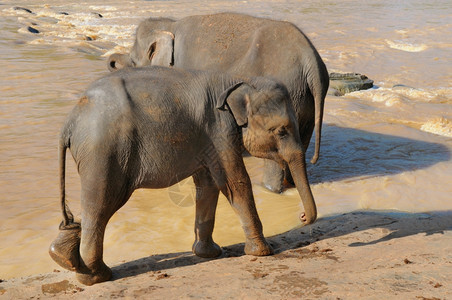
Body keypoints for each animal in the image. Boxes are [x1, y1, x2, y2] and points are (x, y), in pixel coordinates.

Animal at [49, 67, 316, 284]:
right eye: (281, 131)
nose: (302, 216)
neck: (239, 79)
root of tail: (69, 122)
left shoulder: (208, 138)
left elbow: (208, 185)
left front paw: (209, 254)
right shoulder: (219, 129)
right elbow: (234, 182)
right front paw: (263, 252)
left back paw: (62, 256)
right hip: (104, 152)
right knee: (101, 205)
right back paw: (96, 277)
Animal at [109, 12, 328, 192]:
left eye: (134, 61)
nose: (111, 63)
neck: (169, 24)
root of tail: (310, 60)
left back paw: (268, 188)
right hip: (304, 101)